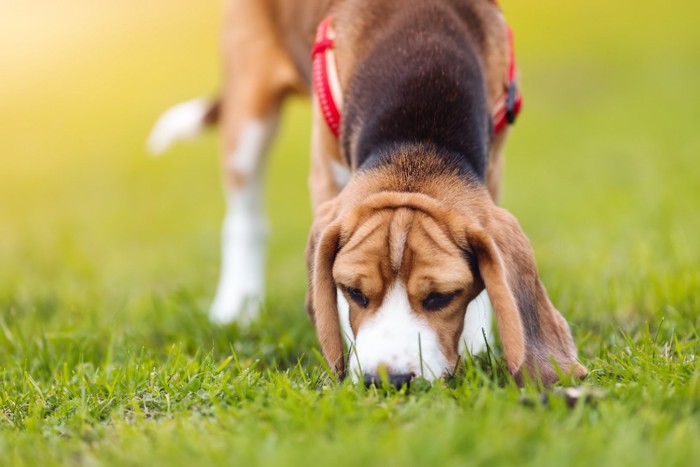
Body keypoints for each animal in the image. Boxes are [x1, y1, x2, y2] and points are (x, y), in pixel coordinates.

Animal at [148, 0, 584, 388]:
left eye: (442, 297)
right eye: (353, 291)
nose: (387, 381)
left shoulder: (493, 166)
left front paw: (477, 341)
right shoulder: (326, 177)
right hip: (248, 114)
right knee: (245, 217)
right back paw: (237, 306)